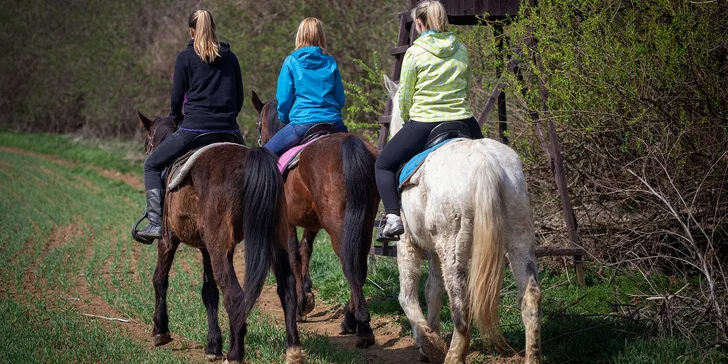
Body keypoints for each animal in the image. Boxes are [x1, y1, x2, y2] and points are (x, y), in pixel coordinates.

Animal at [136, 112, 304, 364]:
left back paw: (235, 354)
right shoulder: (206, 248)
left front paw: (160, 331)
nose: (148, 151)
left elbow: (160, 279)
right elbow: (209, 292)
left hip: (221, 248)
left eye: (148, 143)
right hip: (274, 239)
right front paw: (213, 346)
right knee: (287, 287)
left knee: (235, 296)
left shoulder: (168, 239)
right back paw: (293, 349)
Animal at [252, 91, 382, 346]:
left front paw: (300, 305)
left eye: (257, 125)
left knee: (350, 266)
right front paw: (307, 296)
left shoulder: (288, 222)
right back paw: (350, 321)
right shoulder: (311, 223)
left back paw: (362, 327)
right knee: (359, 266)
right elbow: (305, 251)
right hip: (363, 223)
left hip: (339, 227)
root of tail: (350, 145)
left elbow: (294, 256)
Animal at [384, 77, 544, 364]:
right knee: (530, 297)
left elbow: (408, 296)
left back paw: (452, 355)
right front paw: (430, 338)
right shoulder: (434, 251)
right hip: (519, 238)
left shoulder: (407, 243)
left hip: (453, 249)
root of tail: (485, 162)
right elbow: (432, 291)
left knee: (461, 307)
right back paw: (532, 356)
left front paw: (429, 342)